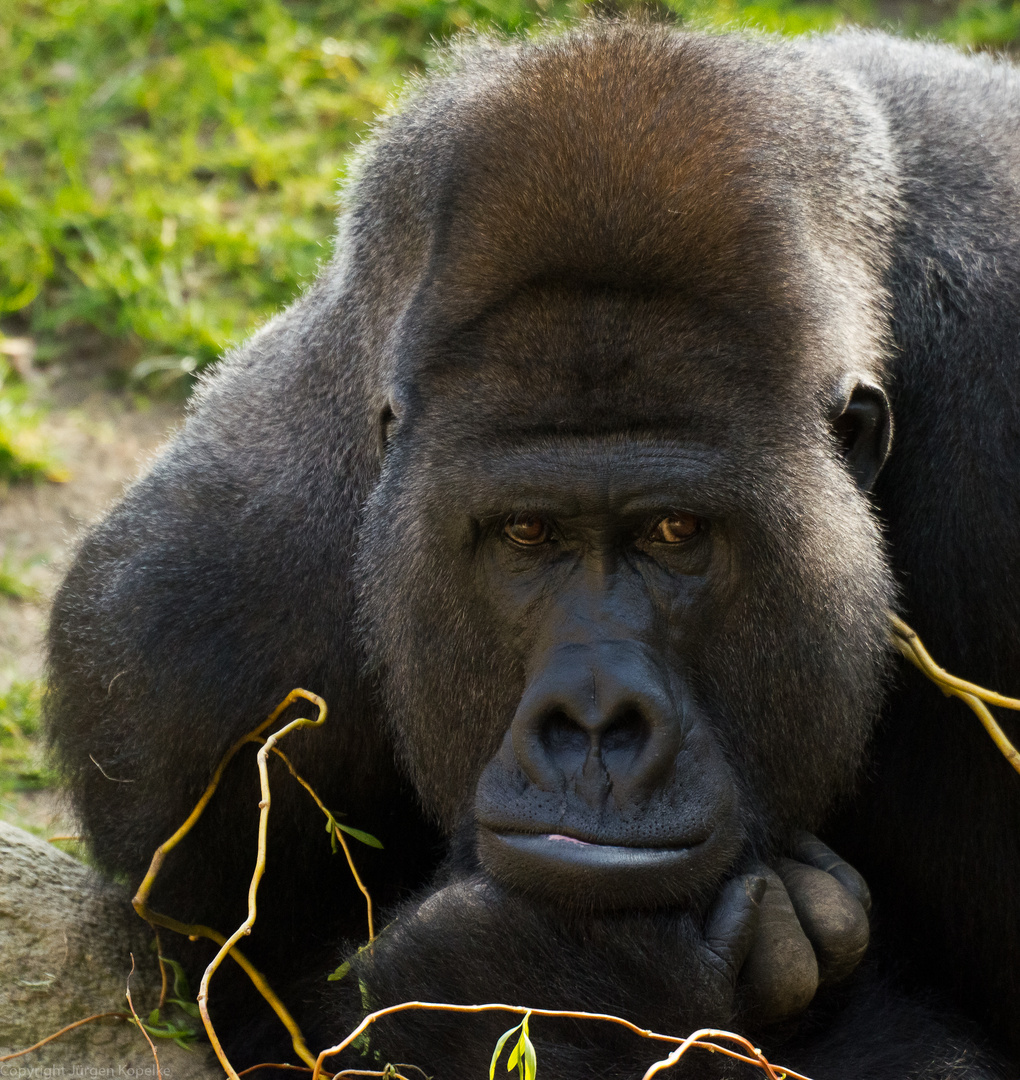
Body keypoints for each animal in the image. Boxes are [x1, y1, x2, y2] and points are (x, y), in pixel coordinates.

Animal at [43, 21, 1020, 1080]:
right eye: (527, 533)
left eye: (675, 533)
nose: (594, 722)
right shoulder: (181, 660)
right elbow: (254, 1014)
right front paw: (553, 981)